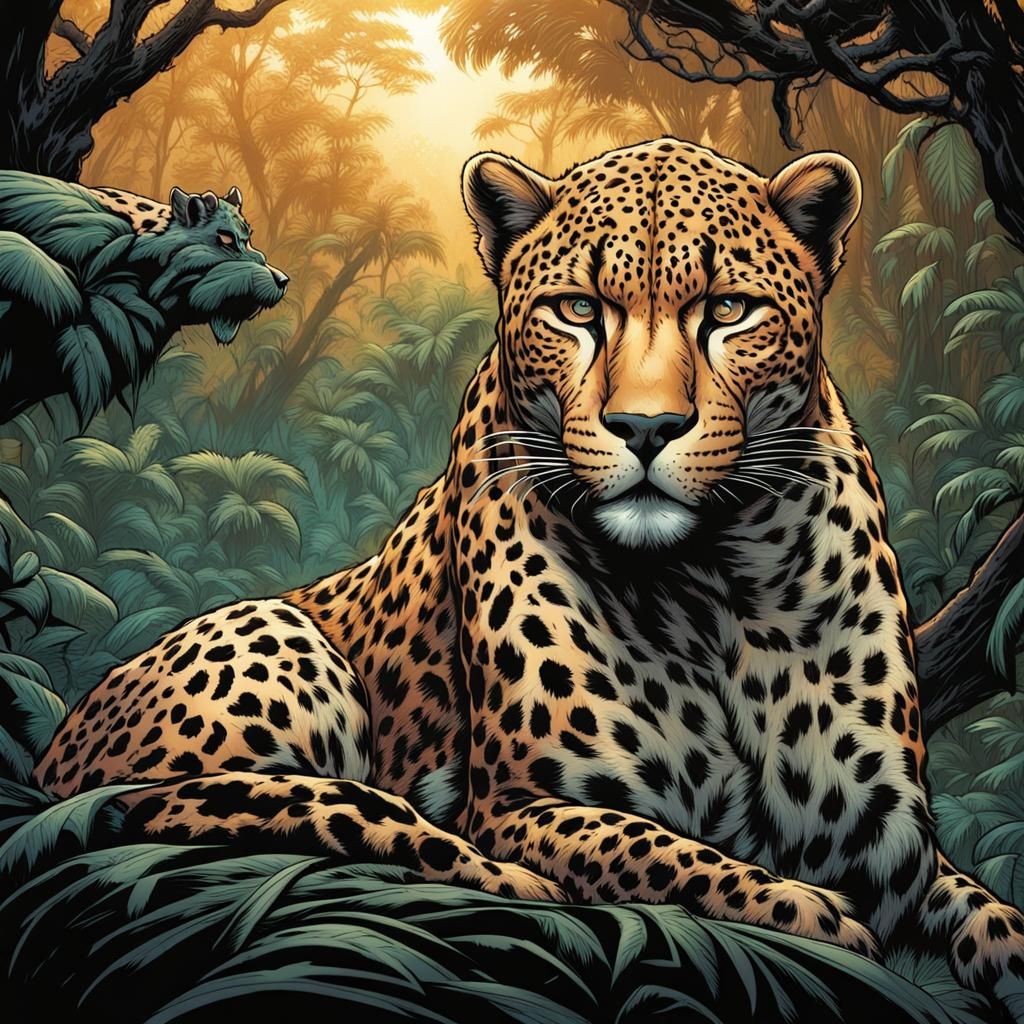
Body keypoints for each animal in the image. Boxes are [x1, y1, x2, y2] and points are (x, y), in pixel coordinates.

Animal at [34, 138, 1024, 1013]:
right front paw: (807, 911)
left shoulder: (891, 843)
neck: (714, 584)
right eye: (578, 310)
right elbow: (677, 858)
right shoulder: (527, 806)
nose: (646, 428)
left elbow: (987, 914)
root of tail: (49, 768)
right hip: (273, 634)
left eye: (729, 309)